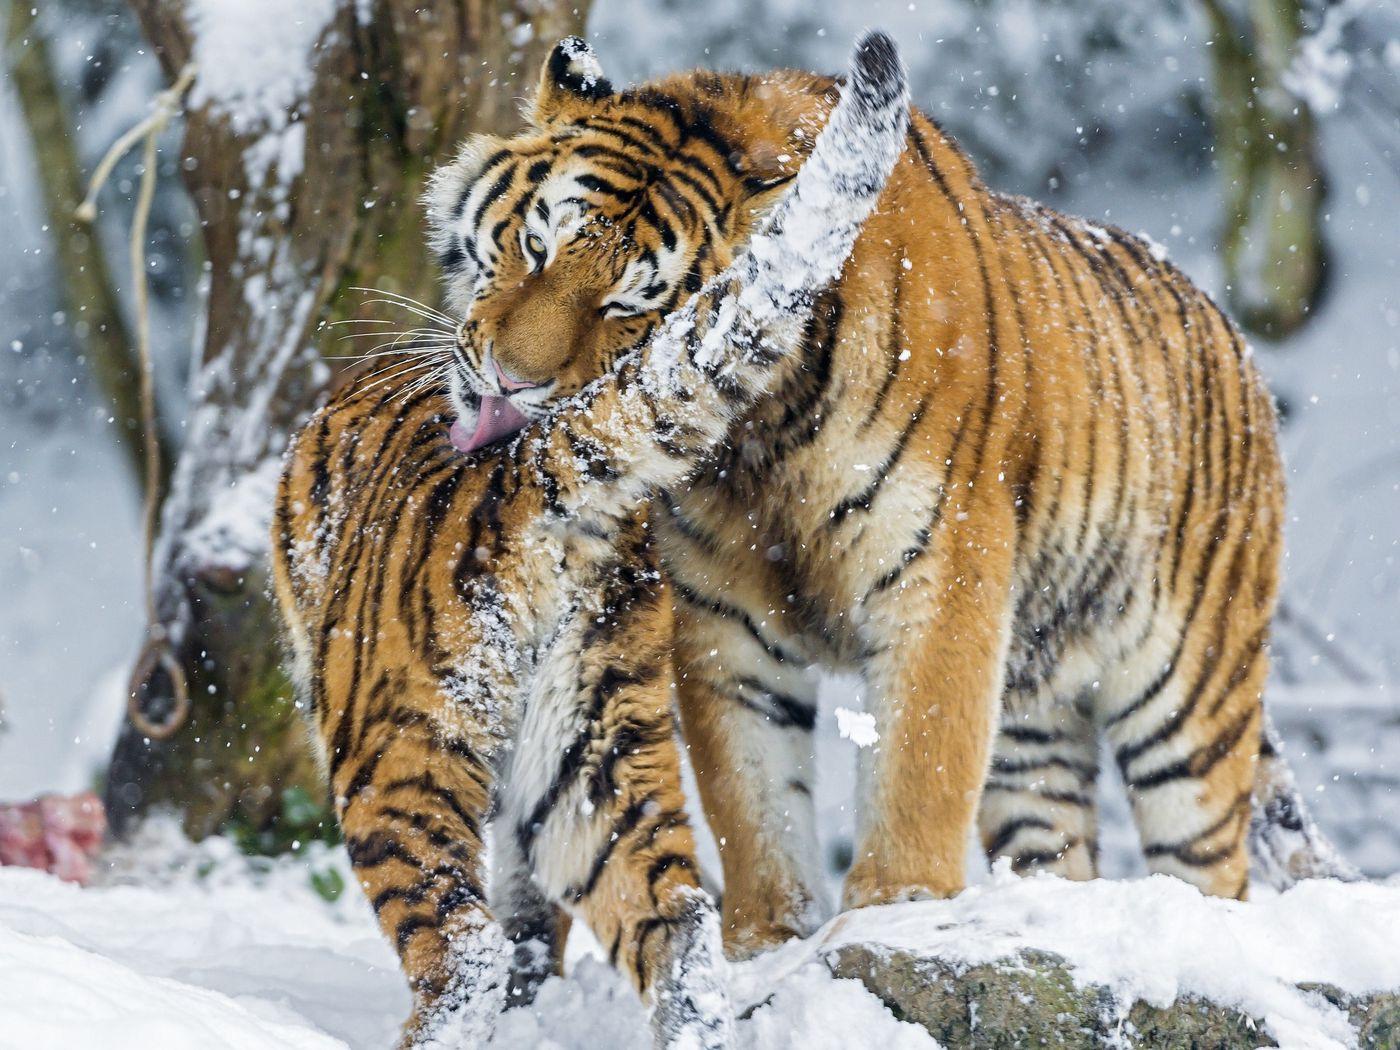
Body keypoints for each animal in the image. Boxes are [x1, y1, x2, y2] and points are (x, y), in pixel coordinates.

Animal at [270, 32, 909, 1049]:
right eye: (534, 246)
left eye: (624, 304)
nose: (512, 383)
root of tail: (536, 471)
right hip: (595, 756)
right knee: (680, 925)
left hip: (399, 739)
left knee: (461, 948)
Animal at [407, 34, 1356, 963]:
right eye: (536, 246)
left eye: (635, 304)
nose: (512, 381)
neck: (754, 449)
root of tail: (1225, 327)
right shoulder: (719, 614)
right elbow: (750, 793)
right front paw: (767, 939)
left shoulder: (941, 577)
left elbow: (919, 763)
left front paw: (896, 904)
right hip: (1035, 718)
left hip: (1189, 698)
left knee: (1210, 860)